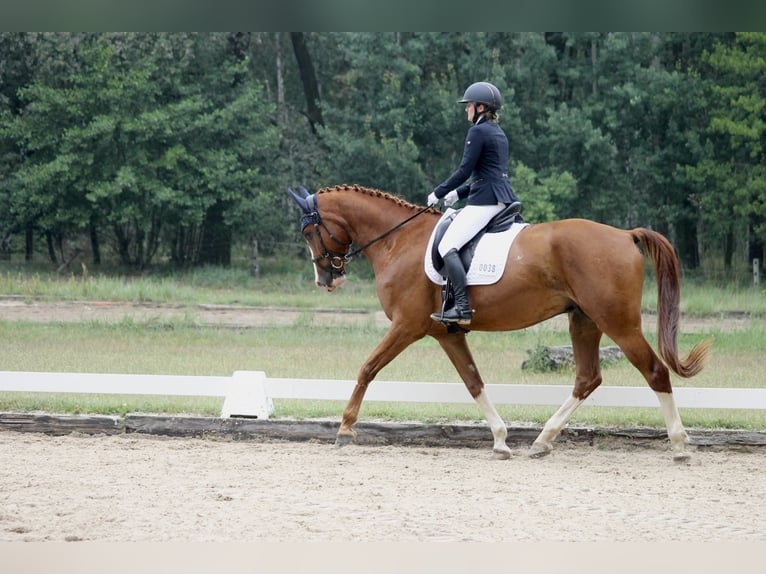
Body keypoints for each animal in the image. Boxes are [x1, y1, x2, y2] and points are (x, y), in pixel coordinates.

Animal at [287, 183, 711, 462]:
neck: (399, 240)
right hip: (584, 320)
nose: (326, 280)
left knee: (654, 371)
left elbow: (368, 368)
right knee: (587, 378)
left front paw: (345, 429)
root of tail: (625, 235)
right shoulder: (446, 333)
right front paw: (501, 440)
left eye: (309, 230)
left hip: (618, 323)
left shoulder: (407, 326)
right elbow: (473, 381)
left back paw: (678, 445)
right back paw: (542, 441)